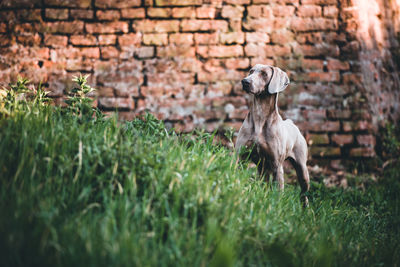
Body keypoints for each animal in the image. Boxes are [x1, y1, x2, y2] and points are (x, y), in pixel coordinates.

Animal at [236, 63, 310, 206]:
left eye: (264, 74)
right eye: (251, 71)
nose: (245, 81)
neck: (260, 117)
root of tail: (292, 123)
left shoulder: (277, 165)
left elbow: (278, 192)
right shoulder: (240, 157)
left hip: (302, 169)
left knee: (304, 193)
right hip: (263, 168)